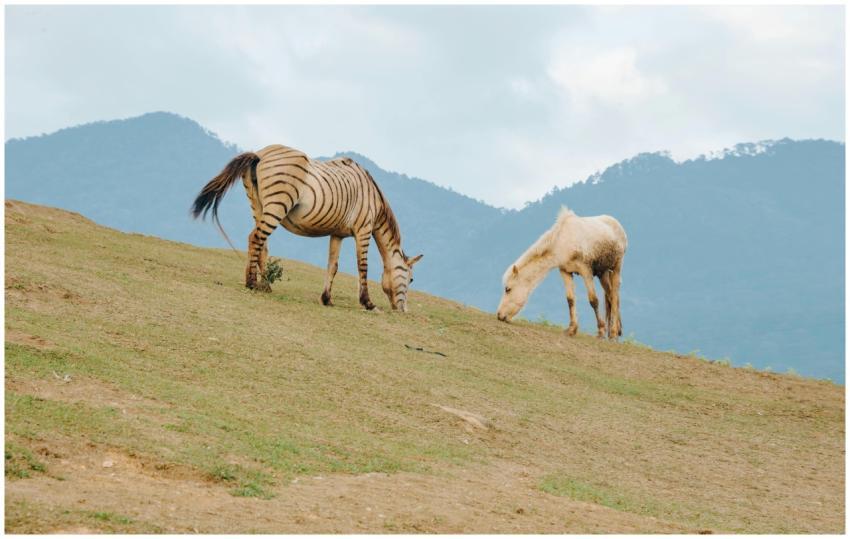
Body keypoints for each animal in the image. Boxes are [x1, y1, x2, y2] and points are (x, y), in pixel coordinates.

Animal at [192, 145, 423, 312]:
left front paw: (326, 299)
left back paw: (264, 285)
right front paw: (367, 303)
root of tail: (260, 154)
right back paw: (251, 282)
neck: (373, 198)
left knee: (261, 243)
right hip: (277, 204)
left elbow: (333, 266)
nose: (404, 311)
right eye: (411, 279)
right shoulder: (363, 230)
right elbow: (362, 267)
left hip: (258, 205)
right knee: (255, 238)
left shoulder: (337, 234)